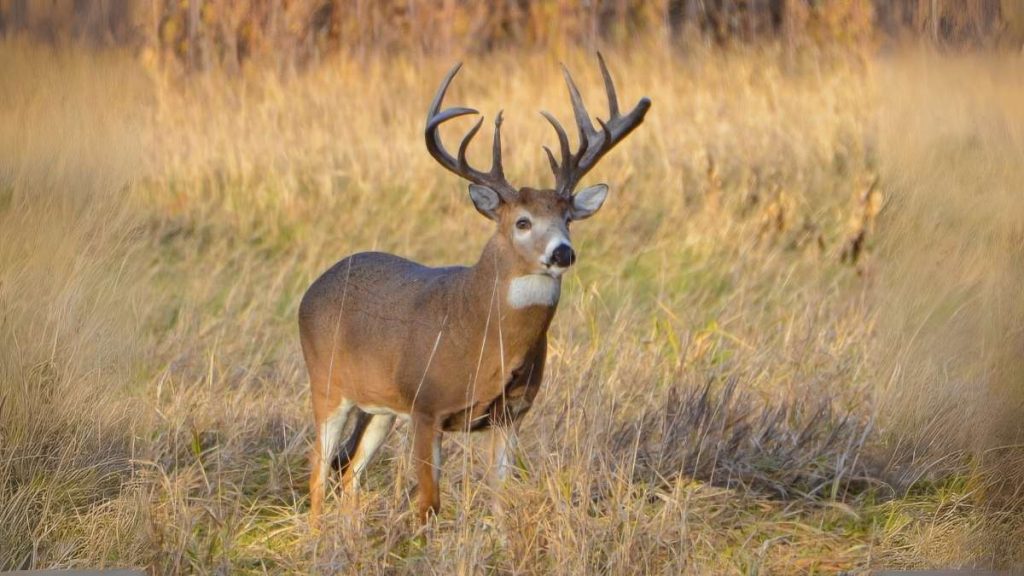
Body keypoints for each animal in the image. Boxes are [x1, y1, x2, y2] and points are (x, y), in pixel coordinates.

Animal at [299, 53, 650, 524]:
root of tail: (313, 287)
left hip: (379, 408)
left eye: (568, 218)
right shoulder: (426, 405)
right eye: (522, 222)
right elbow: (429, 503)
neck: (483, 333)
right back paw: (317, 532)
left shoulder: (510, 415)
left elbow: (501, 497)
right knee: (319, 472)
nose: (562, 252)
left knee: (350, 472)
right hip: (327, 383)